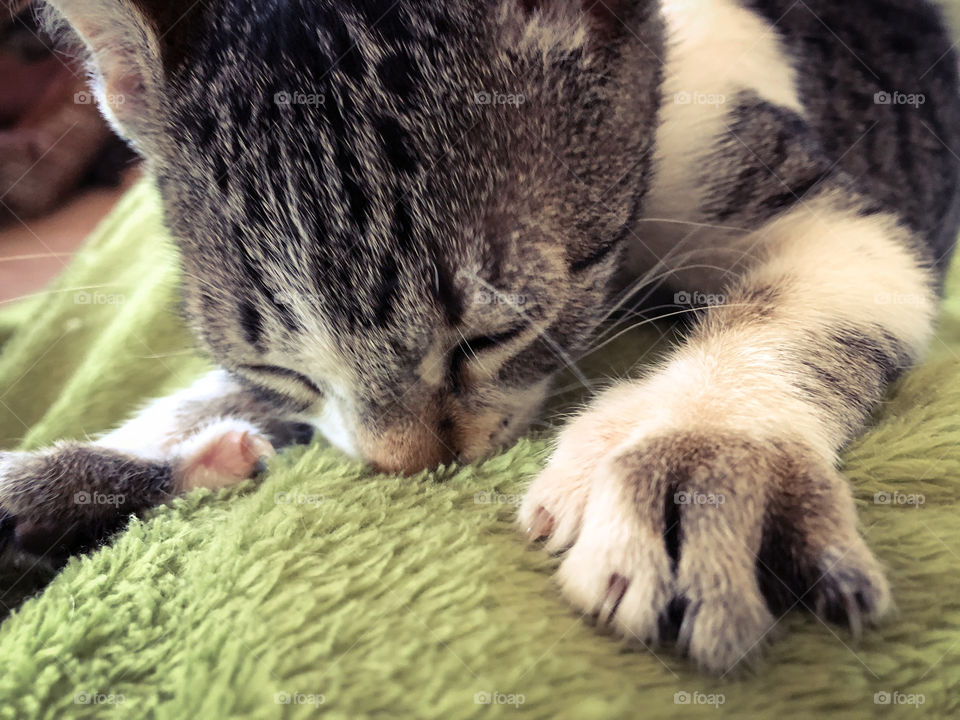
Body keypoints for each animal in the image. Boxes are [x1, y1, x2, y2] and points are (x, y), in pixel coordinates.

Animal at [1, 0, 960, 676]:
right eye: (277, 367)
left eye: (497, 333)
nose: (405, 465)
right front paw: (73, 473)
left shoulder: (823, 208)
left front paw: (697, 455)